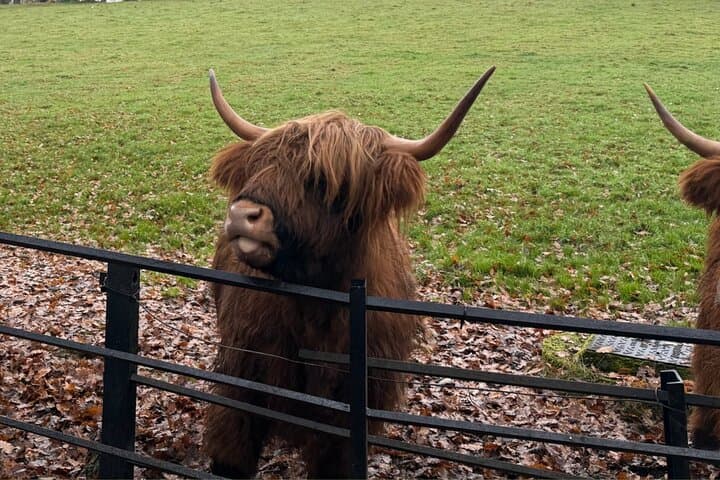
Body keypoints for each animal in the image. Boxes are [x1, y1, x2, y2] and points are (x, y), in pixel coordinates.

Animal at [202, 67, 495, 477]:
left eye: (324, 180)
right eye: (258, 165)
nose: (243, 214)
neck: (316, 312)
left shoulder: (344, 426)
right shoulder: (240, 386)